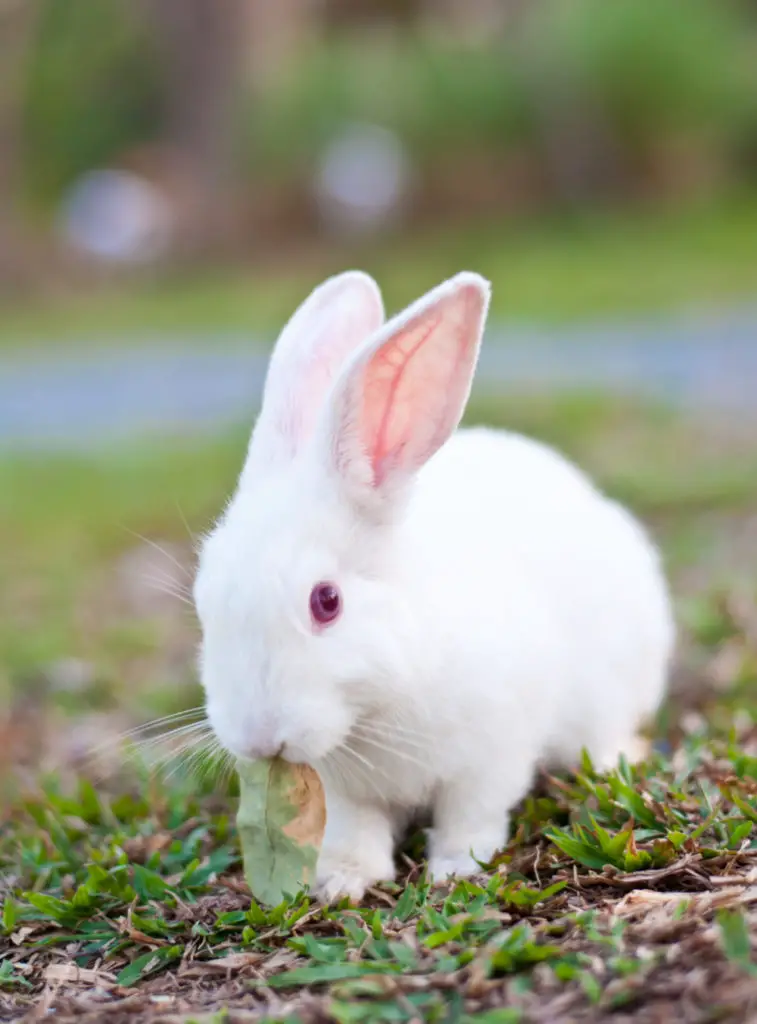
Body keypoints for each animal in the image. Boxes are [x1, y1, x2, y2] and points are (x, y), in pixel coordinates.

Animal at [193, 268, 676, 901]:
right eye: (203, 600)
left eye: (327, 601)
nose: (257, 739)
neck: (374, 708)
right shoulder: (347, 794)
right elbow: (357, 832)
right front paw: (343, 880)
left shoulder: (490, 757)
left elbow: (471, 816)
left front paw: (455, 869)